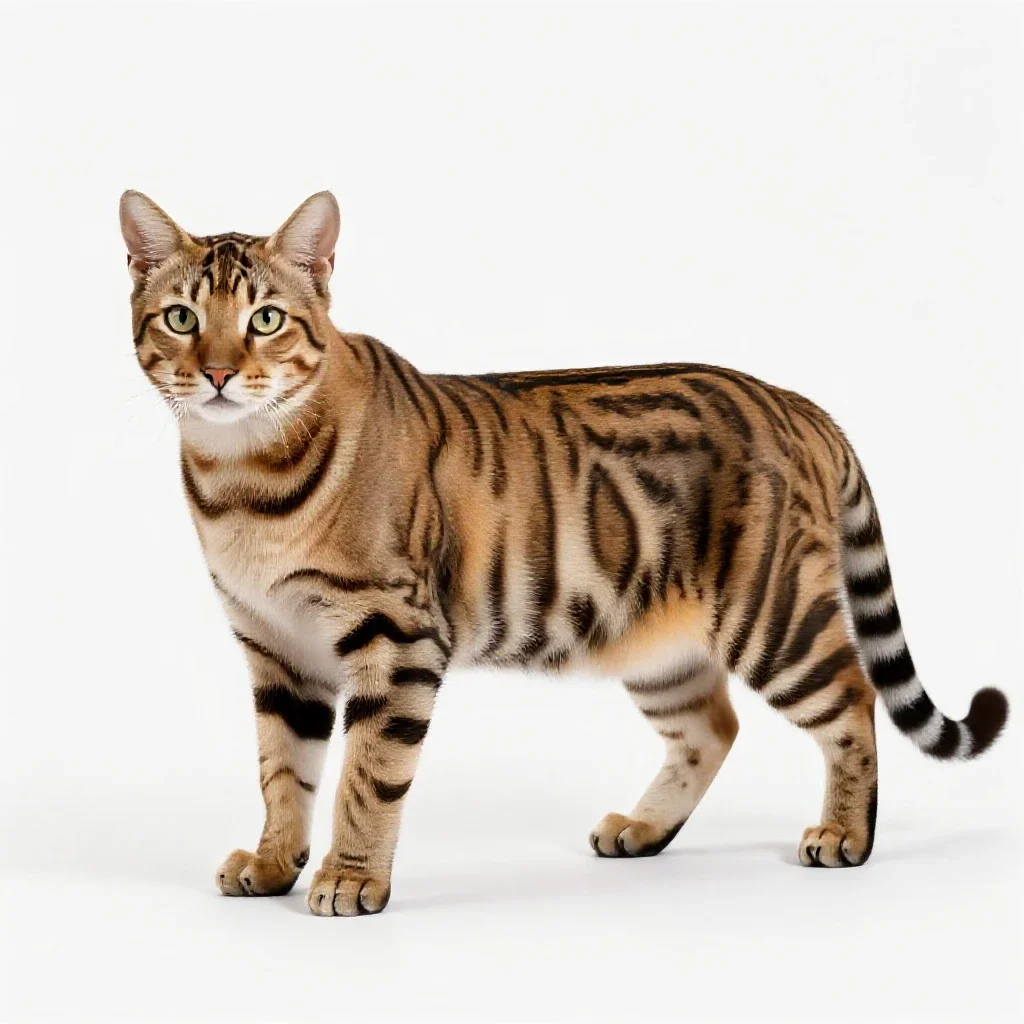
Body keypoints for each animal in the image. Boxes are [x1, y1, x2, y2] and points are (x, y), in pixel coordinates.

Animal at [121, 189, 1009, 917]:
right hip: (656, 642)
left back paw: (845, 835)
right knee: (713, 726)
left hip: (776, 616)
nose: (220, 373)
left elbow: (367, 775)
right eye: (181, 319)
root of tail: (801, 403)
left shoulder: (394, 635)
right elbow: (283, 770)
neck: (241, 476)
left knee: (853, 697)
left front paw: (350, 877)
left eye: (266, 319)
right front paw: (275, 863)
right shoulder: (276, 647)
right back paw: (644, 829)